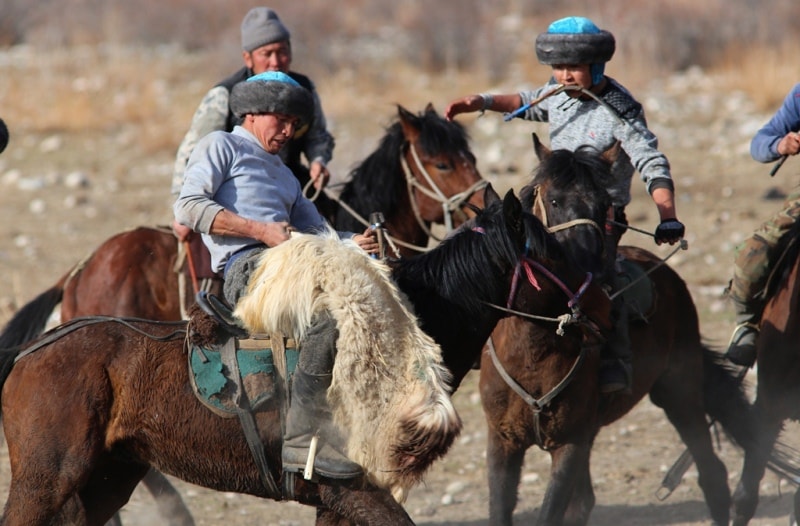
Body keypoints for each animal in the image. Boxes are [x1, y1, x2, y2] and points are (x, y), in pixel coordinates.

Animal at [0, 190, 612, 526]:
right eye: (553, 252)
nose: (604, 299)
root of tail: (32, 352)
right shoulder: (355, 492)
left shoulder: (338, 502)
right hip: (45, 483)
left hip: (106, 478)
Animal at [478, 137, 772, 526]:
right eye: (553, 200)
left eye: (605, 204)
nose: (589, 264)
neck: (533, 351)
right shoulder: (503, 442)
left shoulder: (570, 443)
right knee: (584, 502)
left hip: (679, 394)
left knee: (712, 473)